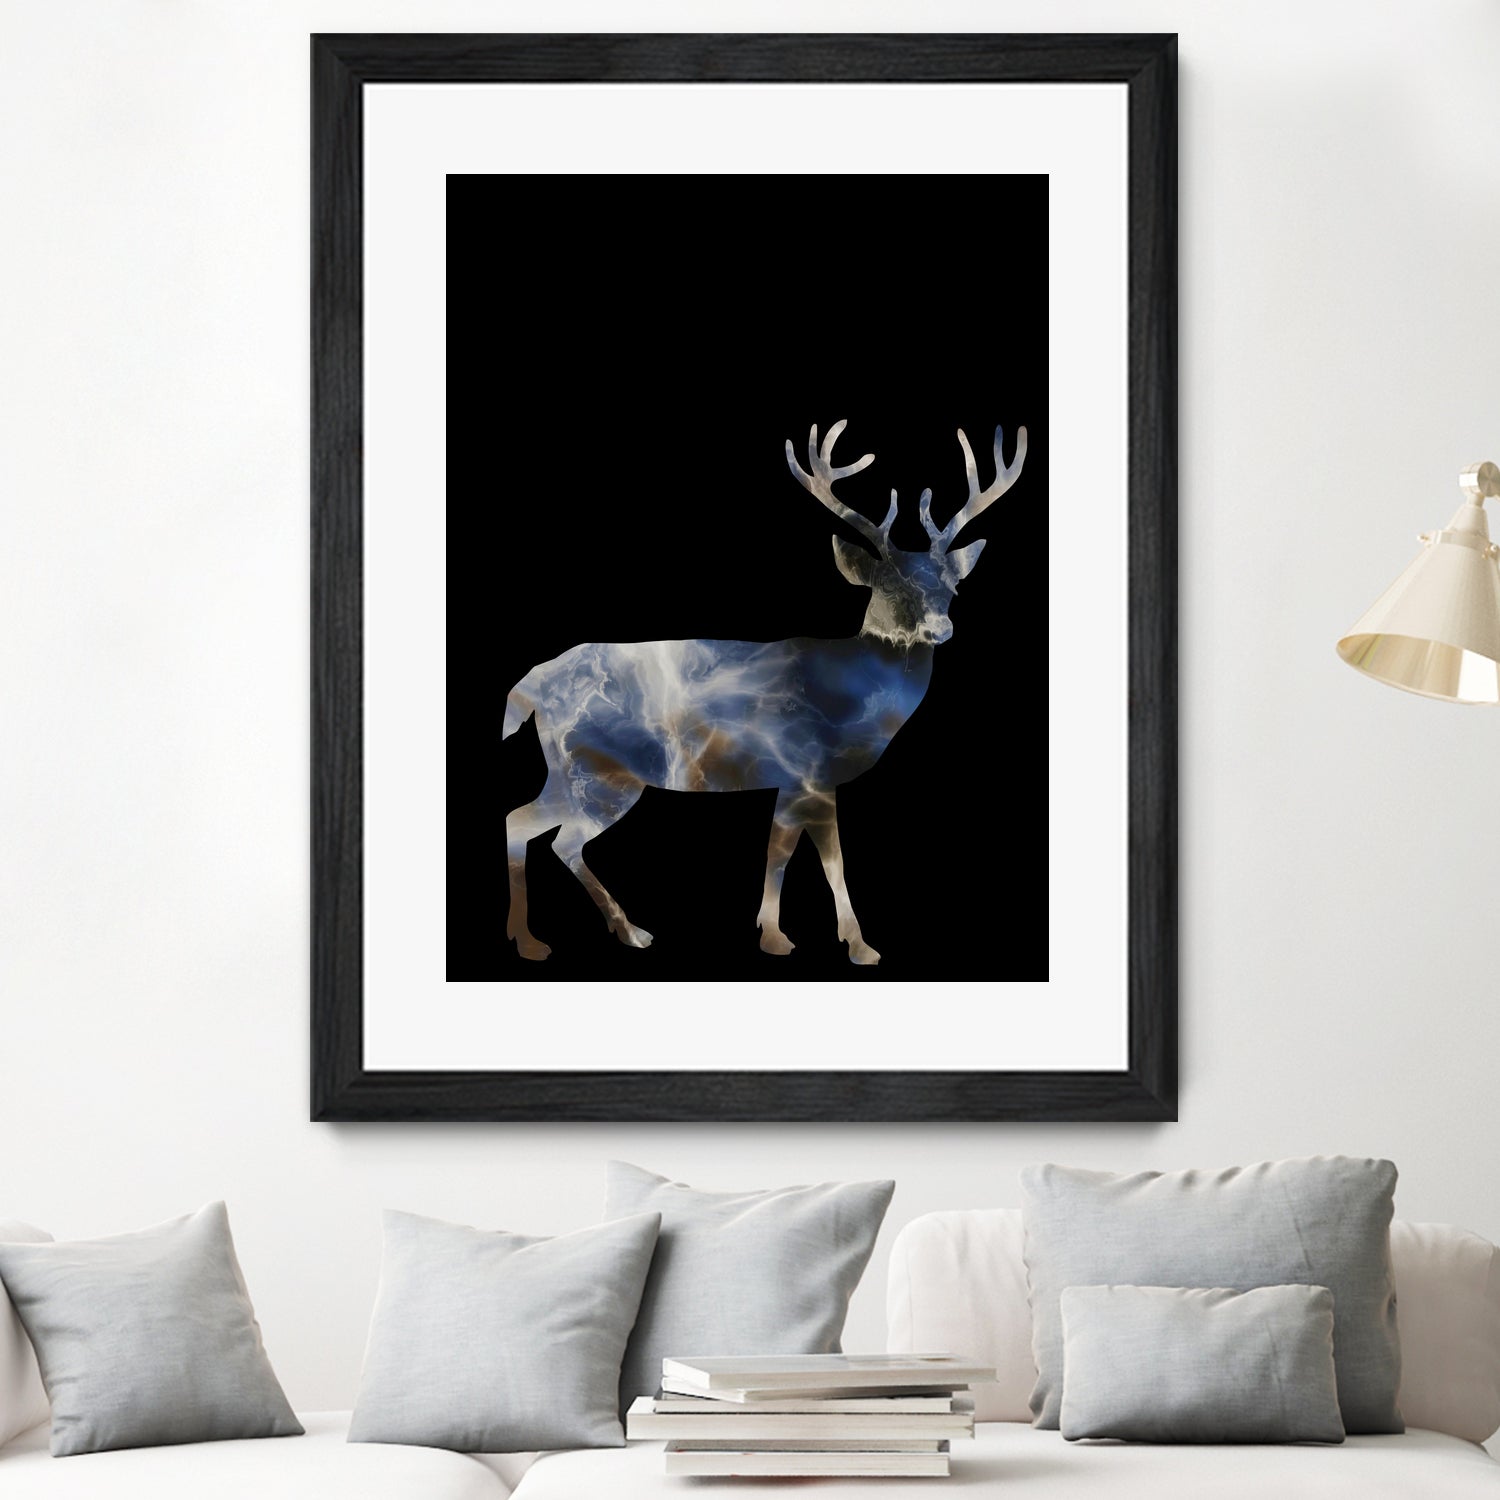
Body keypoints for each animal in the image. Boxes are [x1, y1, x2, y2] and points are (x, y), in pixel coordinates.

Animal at [501, 419, 1027, 965]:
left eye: (953, 589)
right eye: (889, 586)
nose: (941, 628)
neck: (853, 694)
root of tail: (531, 686)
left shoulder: (793, 780)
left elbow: (780, 851)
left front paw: (775, 932)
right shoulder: (810, 770)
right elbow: (821, 860)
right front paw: (849, 944)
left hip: (572, 771)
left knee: (528, 824)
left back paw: (588, 933)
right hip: (599, 771)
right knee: (550, 834)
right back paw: (574, 936)